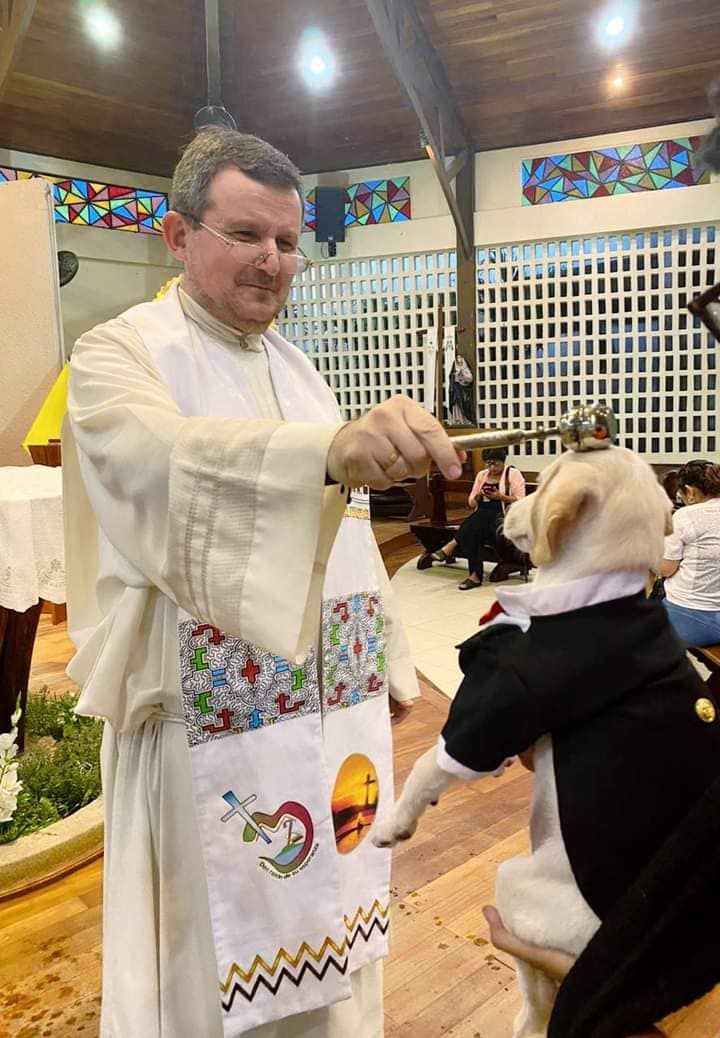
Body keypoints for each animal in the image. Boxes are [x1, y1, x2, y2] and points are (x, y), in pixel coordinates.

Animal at [371, 446, 720, 1038]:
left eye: (545, 479)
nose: (505, 504)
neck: (599, 594)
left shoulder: (492, 714)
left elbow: (425, 767)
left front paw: (392, 825)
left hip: (513, 887)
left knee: (537, 994)